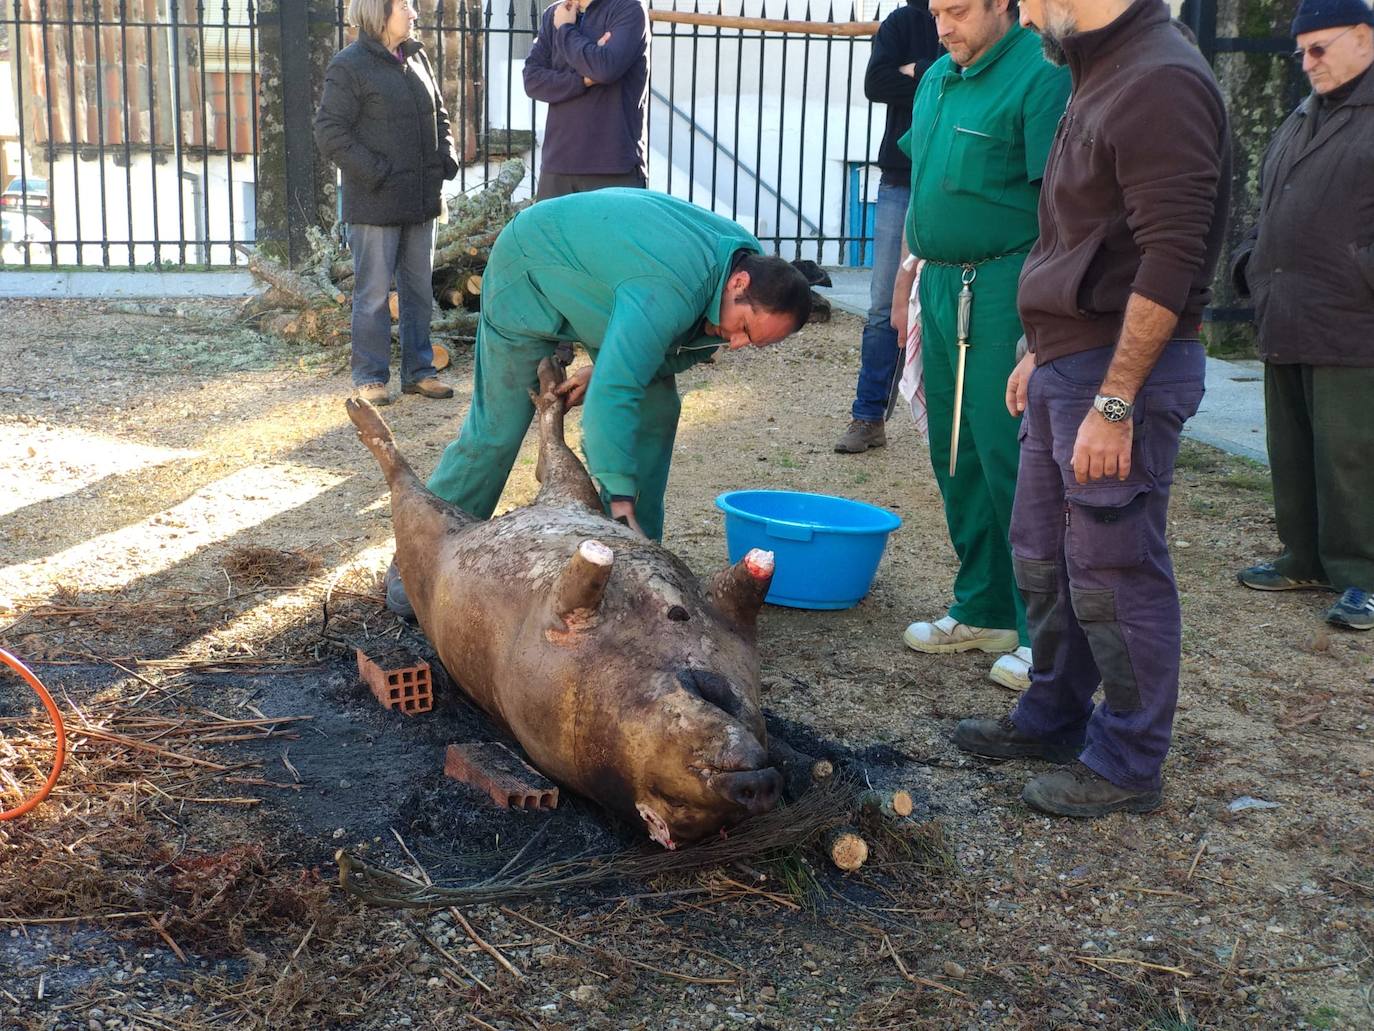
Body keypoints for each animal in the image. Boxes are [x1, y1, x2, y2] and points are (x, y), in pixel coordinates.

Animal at [345, 359, 783, 848]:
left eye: (682, 804)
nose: (762, 785)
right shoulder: (561, 613)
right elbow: (589, 574)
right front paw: (601, 556)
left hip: (533, 499)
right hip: (514, 504)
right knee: (417, 473)